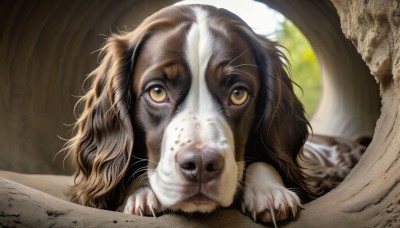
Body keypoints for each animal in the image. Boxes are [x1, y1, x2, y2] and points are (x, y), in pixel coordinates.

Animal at [66, 4, 368, 226]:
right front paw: (141, 194)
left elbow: (263, 163)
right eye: (157, 92)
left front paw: (270, 193)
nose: (200, 165)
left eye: (238, 94)